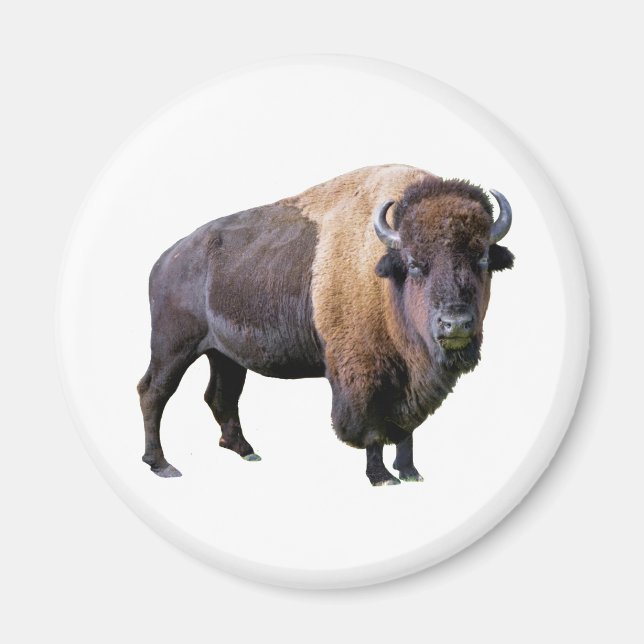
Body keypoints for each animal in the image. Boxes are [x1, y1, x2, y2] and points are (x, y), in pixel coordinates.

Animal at [137, 164, 514, 486]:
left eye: (482, 259)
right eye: (414, 263)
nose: (455, 324)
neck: (385, 278)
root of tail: (165, 260)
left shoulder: (409, 382)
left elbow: (406, 429)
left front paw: (410, 472)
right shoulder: (362, 376)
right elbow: (371, 429)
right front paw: (382, 477)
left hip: (224, 355)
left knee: (220, 396)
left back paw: (246, 451)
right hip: (173, 348)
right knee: (153, 392)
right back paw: (162, 465)